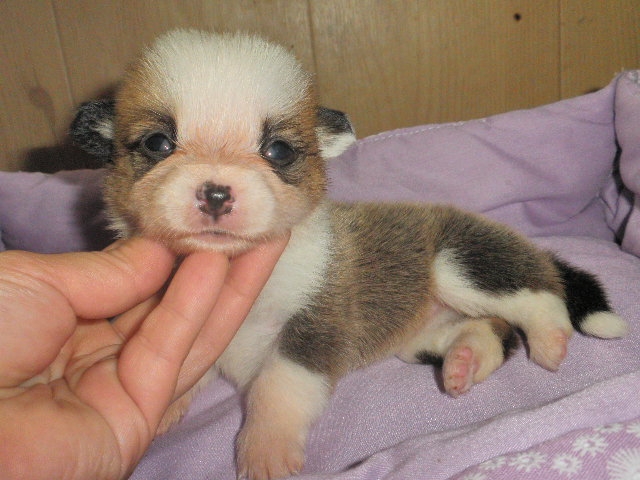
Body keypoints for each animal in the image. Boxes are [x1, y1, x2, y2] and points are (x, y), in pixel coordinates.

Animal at [71, 29, 627, 479]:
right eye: (158, 143)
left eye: (277, 151)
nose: (216, 192)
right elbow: (187, 364)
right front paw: (163, 402)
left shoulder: (314, 328)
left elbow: (277, 388)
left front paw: (265, 449)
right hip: (420, 337)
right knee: (490, 331)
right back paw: (464, 361)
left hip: (460, 262)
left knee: (539, 295)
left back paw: (550, 340)